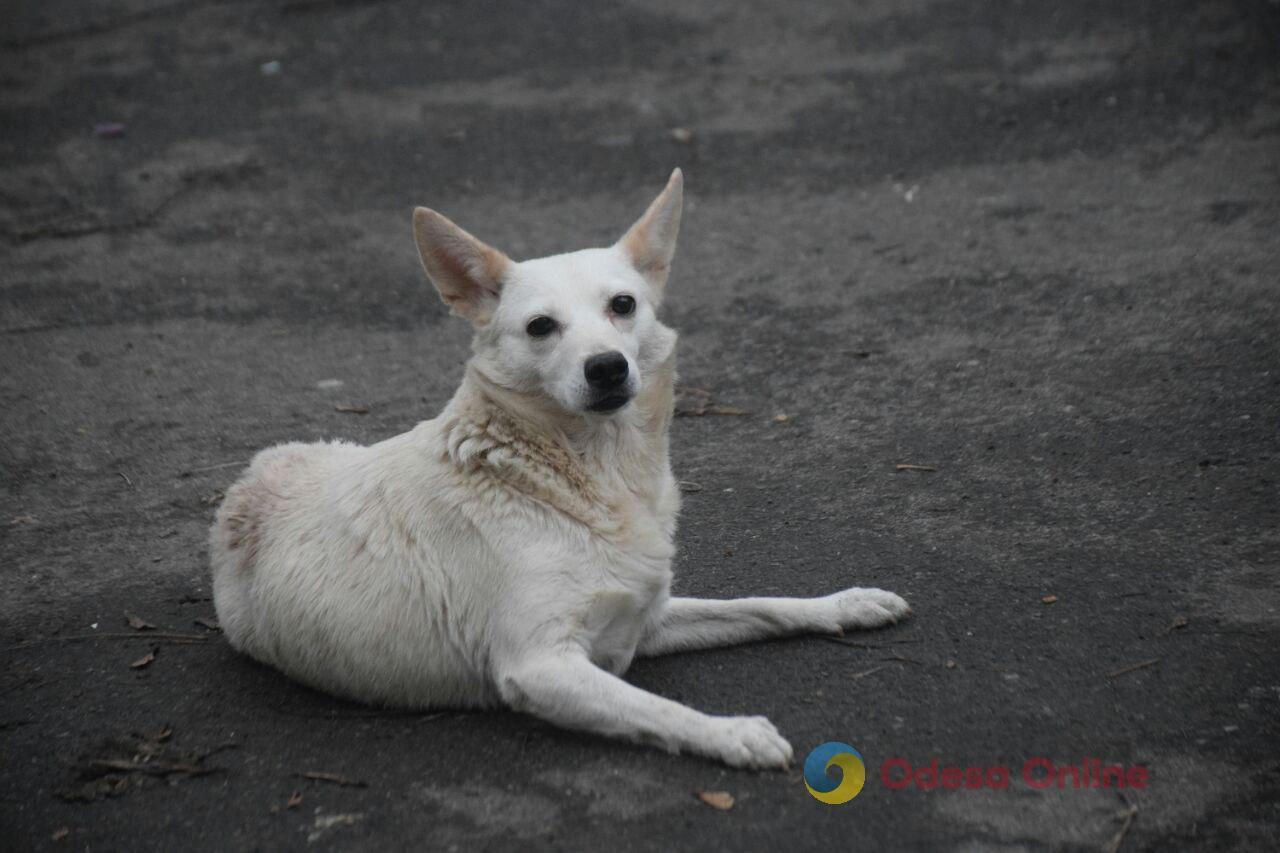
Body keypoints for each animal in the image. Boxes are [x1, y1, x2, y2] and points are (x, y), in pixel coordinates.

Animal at [209, 169, 911, 768]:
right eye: (541, 326)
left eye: (623, 305)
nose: (607, 368)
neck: (586, 475)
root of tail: (244, 491)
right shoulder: (541, 666)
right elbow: (659, 708)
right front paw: (732, 733)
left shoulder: (644, 620)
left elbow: (764, 605)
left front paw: (846, 604)